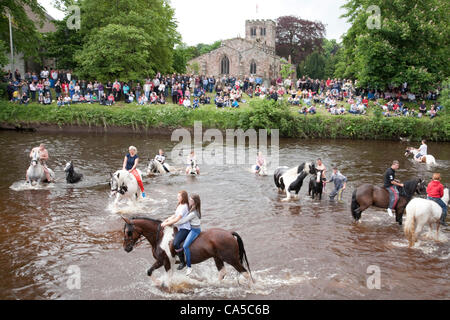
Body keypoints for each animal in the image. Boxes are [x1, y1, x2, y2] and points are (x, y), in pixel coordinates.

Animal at [121, 216, 253, 286]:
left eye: (128, 232)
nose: (126, 248)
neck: (160, 237)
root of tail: (229, 233)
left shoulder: (166, 261)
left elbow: (168, 278)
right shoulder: (160, 261)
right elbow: (149, 271)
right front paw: (158, 283)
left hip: (231, 259)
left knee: (245, 272)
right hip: (217, 257)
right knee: (222, 272)